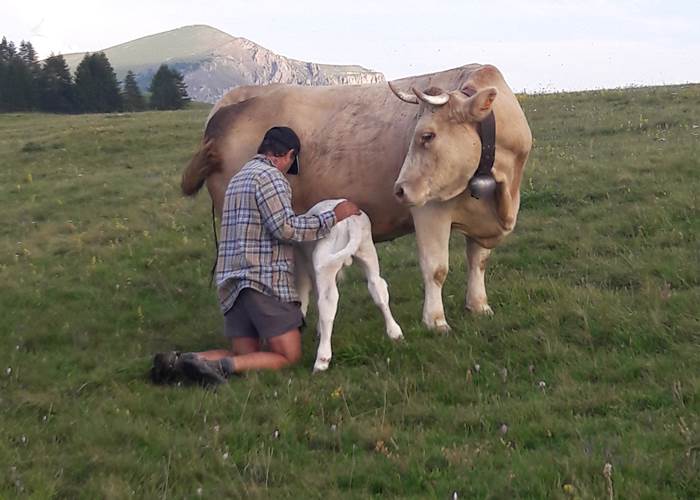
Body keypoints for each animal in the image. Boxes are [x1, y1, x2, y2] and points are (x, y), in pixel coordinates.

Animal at [182, 64, 532, 332]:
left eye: (428, 135)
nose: (399, 189)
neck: (501, 184)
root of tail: (227, 105)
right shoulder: (430, 209)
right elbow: (436, 268)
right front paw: (435, 321)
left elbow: (478, 261)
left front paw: (479, 306)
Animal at [295, 199, 403, 372]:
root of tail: (349, 221)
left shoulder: (302, 270)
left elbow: (303, 298)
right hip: (367, 251)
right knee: (378, 288)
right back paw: (395, 332)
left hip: (324, 265)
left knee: (327, 303)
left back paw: (322, 360)